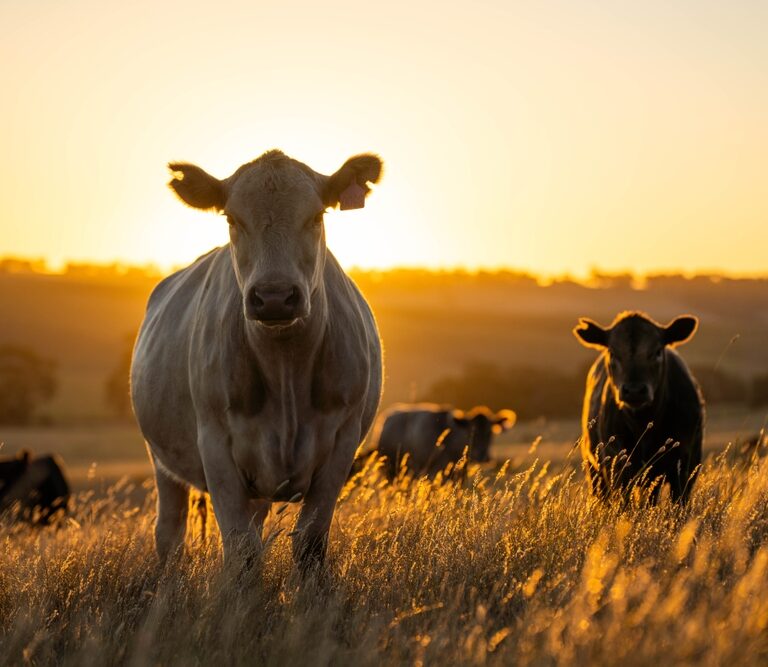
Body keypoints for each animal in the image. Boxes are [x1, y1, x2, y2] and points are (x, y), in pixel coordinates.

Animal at [130, 150, 383, 568]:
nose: (275, 297)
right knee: (170, 533)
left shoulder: (341, 444)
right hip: (163, 460)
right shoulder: (215, 445)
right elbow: (242, 550)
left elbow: (310, 544)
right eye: (232, 219)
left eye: (317, 216)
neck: (285, 368)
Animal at [366, 403, 516, 478]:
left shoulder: (460, 473)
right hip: (390, 468)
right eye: (471, 433)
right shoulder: (435, 470)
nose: (484, 456)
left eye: (490, 432)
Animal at [573, 311, 704, 504]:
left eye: (657, 351)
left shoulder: (686, 465)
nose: (634, 390)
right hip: (595, 468)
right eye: (612, 352)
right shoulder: (617, 463)